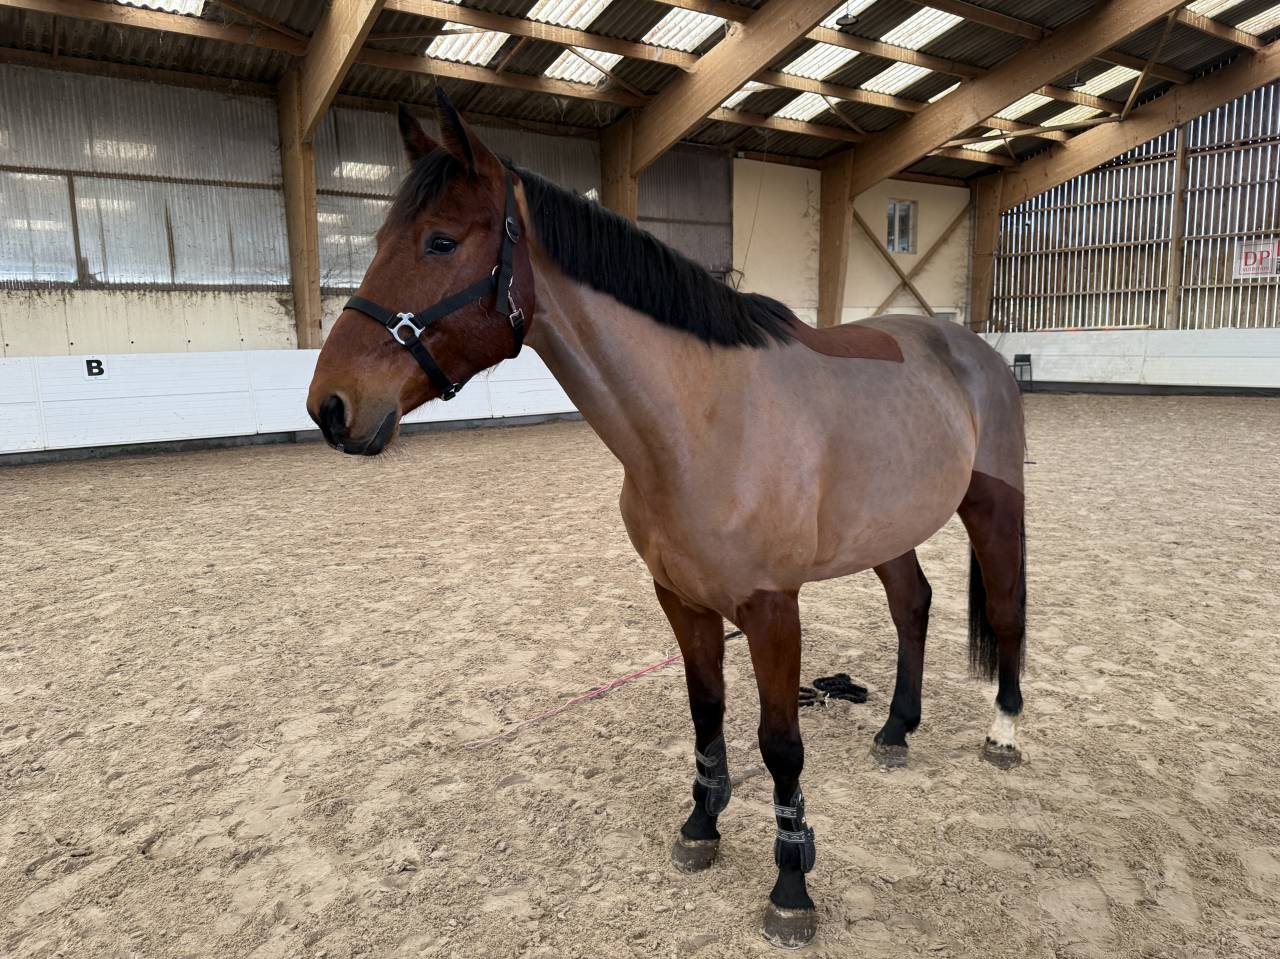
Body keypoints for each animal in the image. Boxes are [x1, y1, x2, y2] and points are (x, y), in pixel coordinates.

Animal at [306, 90, 1027, 949]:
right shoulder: (680, 598)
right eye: (379, 237)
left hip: (994, 508)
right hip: (888, 528)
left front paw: (791, 884)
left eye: (440, 240)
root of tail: (968, 345)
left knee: (1007, 613)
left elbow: (780, 743)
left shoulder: (772, 608)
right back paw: (895, 730)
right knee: (912, 604)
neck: (699, 422)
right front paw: (701, 824)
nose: (331, 406)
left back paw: (1003, 735)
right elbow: (706, 710)